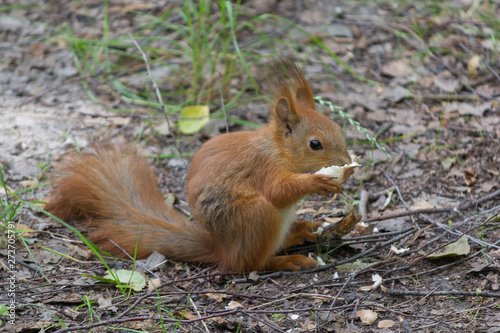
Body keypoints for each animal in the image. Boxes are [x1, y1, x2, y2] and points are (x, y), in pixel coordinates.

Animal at [46, 58, 352, 272]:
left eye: (339, 128)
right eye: (315, 144)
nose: (347, 162)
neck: (278, 149)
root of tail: (221, 248)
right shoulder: (264, 168)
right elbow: (277, 191)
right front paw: (318, 182)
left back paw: (298, 232)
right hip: (257, 216)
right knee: (247, 265)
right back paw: (286, 261)